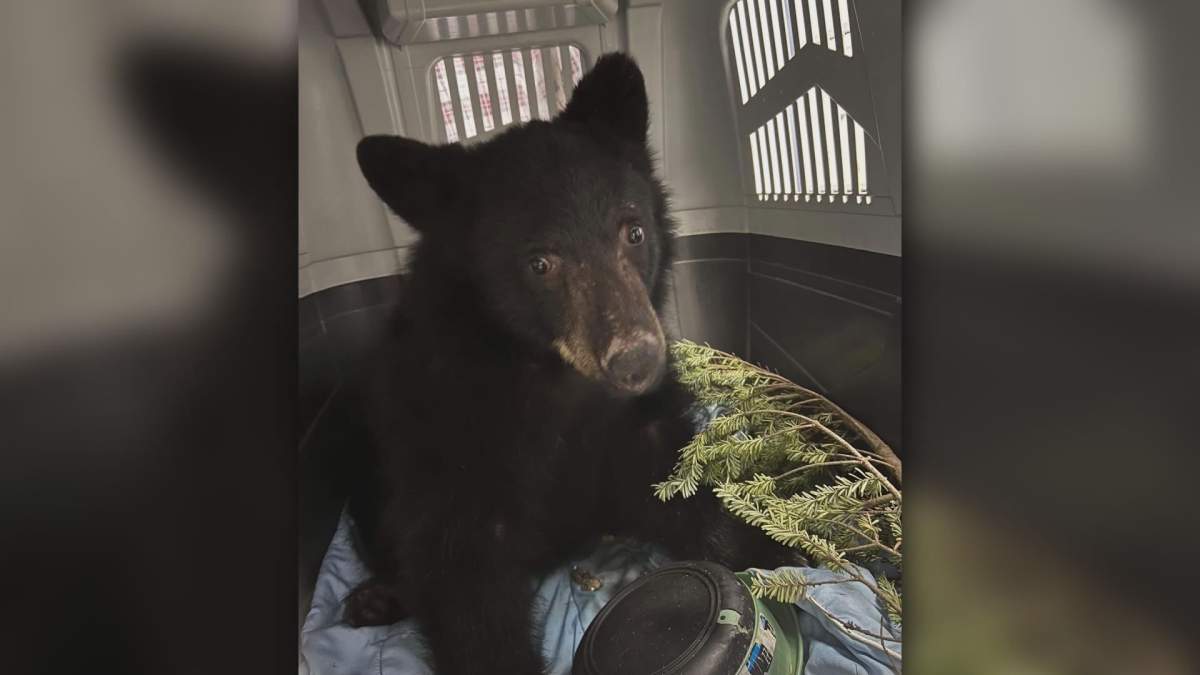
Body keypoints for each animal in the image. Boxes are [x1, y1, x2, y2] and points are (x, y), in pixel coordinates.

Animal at [344, 53, 794, 675]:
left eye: (633, 230)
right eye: (540, 263)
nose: (637, 362)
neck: (557, 382)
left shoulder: (633, 428)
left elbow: (684, 492)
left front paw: (786, 553)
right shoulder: (452, 439)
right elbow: (465, 583)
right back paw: (374, 598)